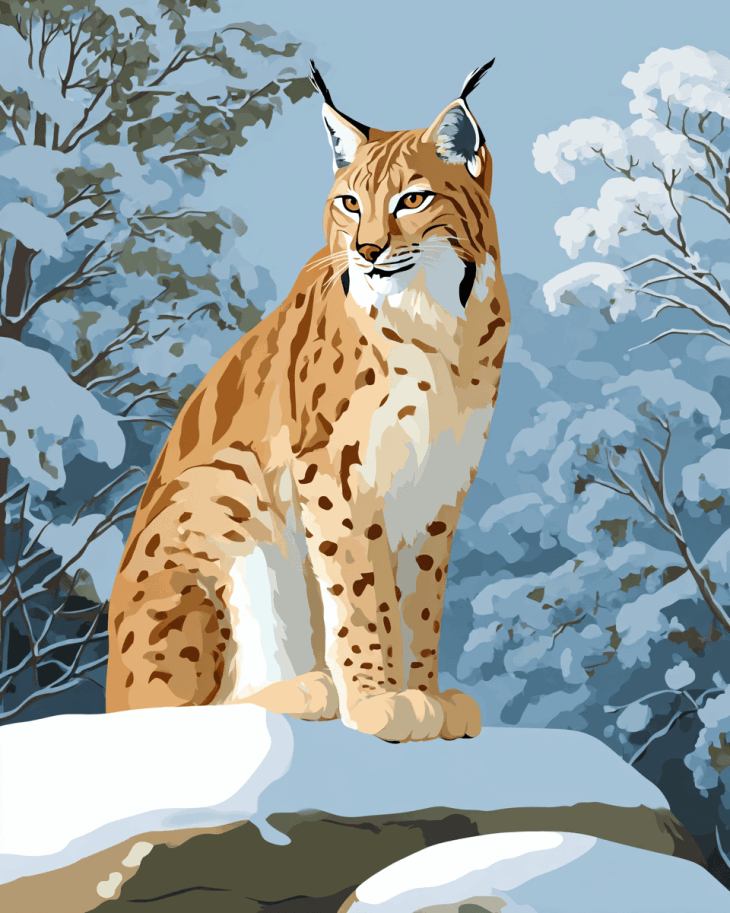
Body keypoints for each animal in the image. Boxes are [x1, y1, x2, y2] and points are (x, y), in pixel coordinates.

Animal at [105, 59, 510, 743]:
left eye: (414, 199)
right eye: (350, 203)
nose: (368, 252)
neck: (434, 315)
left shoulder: (443, 476)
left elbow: (421, 601)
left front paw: (425, 694)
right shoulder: (332, 464)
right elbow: (361, 589)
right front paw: (378, 699)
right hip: (226, 482)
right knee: (164, 715)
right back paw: (307, 690)